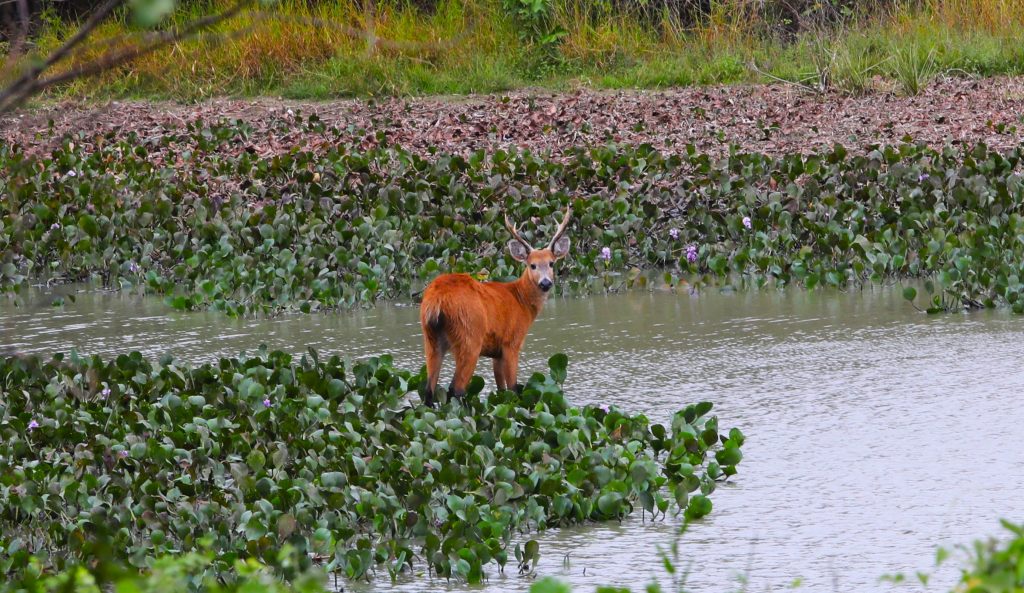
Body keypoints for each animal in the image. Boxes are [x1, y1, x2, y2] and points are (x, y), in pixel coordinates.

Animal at [417, 208, 577, 407]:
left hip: (430, 337)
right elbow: (513, 387)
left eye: (551, 263)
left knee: (428, 390)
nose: (545, 283)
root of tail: (437, 299)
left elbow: (501, 390)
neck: (521, 300)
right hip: (470, 336)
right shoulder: (511, 342)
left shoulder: (496, 352)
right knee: (455, 388)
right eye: (532, 265)